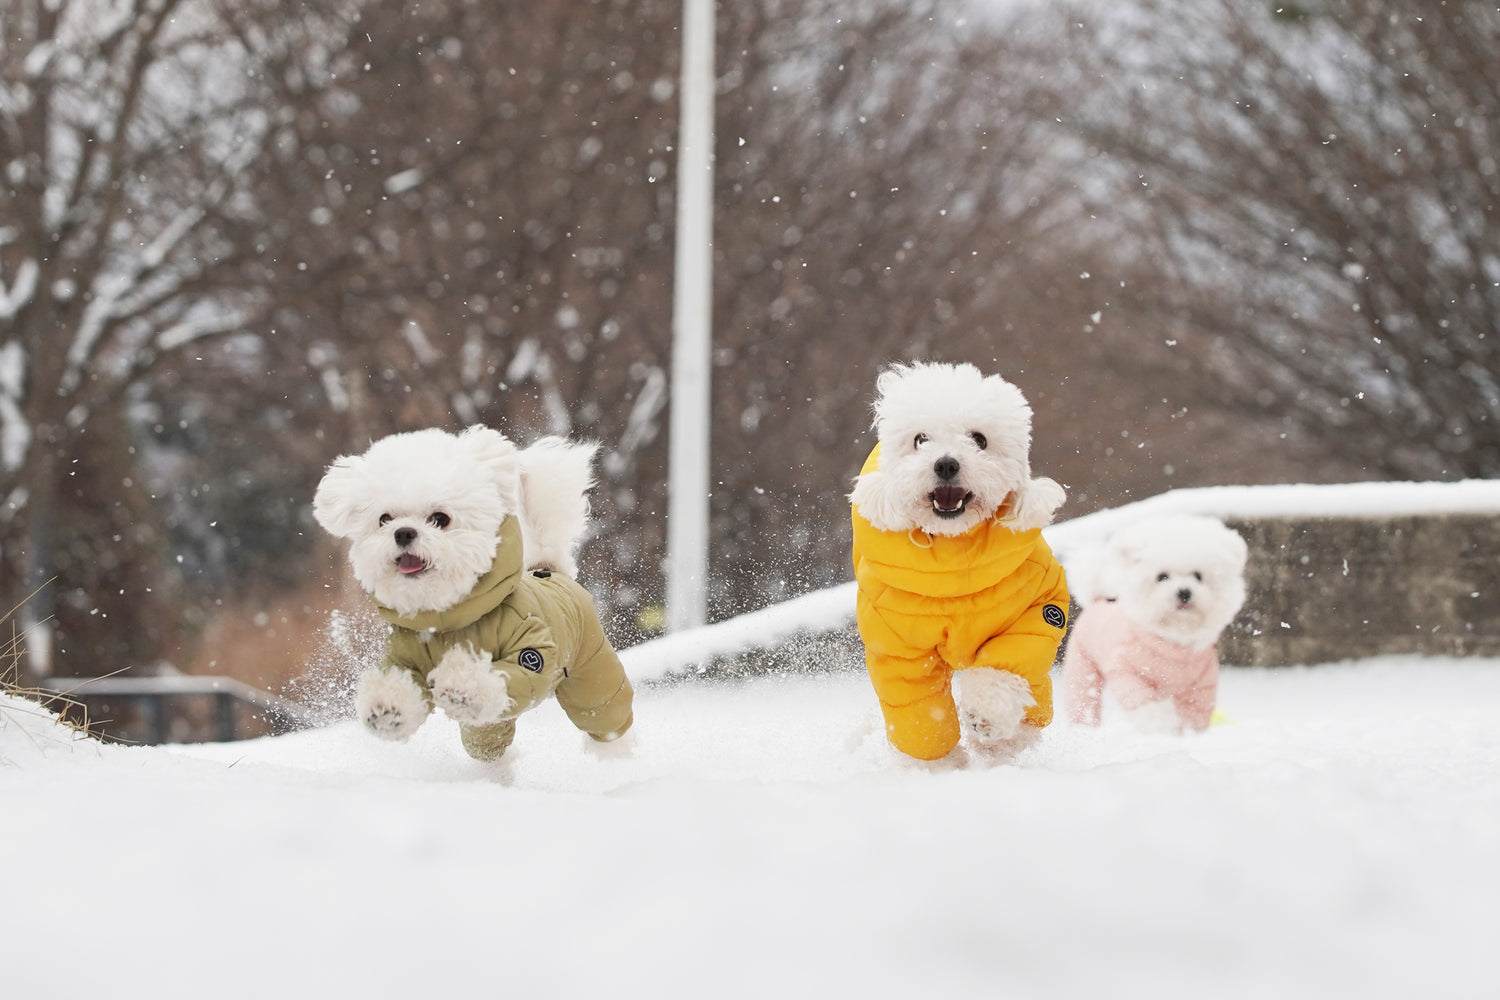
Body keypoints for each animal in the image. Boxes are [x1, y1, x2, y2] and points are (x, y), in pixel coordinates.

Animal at [313, 425, 630, 761]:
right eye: (384, 519)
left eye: (439, 519)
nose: (403, 533)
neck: (444, 621)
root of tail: (547, 567)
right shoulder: (402, 657)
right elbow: (398, 683)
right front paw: (386, 707)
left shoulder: (532, 651)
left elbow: (503, 674)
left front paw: (461, 686)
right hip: (490, 724)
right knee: (487, 744)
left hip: (592, 671)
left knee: (605, 714)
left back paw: (615, 754)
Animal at [852, 364, 1074, 761]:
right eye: (920, 440)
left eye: (979, 440)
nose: (946, 464)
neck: (954, 556)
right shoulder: (896, 645)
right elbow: (918, 702)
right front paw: (939, 759)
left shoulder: (1037, 611)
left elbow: (1005, 666)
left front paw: (986, 717)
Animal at [1062, 515, 1248, 734]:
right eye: (1162, 577)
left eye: (1198, 576)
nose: (1184, 592)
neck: (1173, 642)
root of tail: (1099, 597)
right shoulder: (1128, 672)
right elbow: (1149, 707)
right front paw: (1162, 726)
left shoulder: (1201, 685)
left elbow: (1194, 712)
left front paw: (1188, 734)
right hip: (1083, 663)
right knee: (1084, 698)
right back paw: (1084, 729)